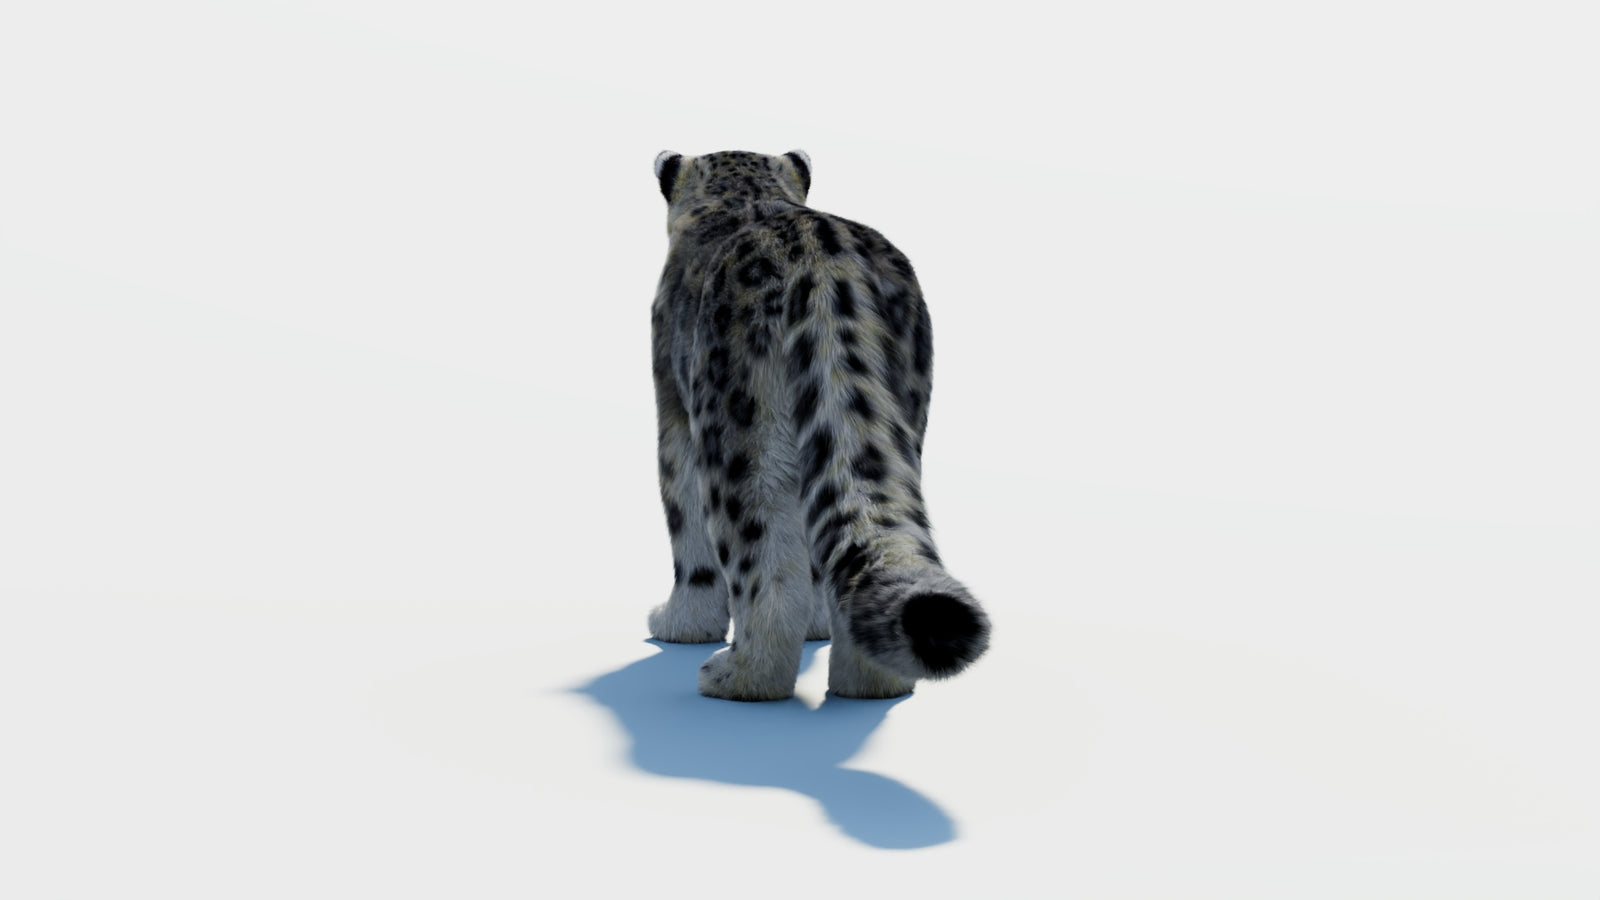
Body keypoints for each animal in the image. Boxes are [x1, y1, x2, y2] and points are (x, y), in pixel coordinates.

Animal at [647, 149, 990, 701]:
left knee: (759, 555)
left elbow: (686, 530)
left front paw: (680, 623)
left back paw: (738, 676)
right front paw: (817, 627)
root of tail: (828, 265)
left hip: (739, 431)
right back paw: (871, 682)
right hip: (901, 413)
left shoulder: (673, 408)